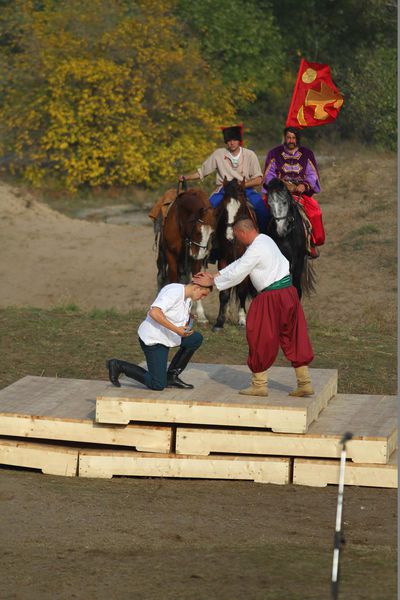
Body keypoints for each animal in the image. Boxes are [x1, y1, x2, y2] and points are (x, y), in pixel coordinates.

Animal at [156, 188, 216, 322]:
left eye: (211, 233)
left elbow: (197, 280)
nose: (201, 255)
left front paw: (201, 314)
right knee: (161, 277)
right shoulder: (171, 254)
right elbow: (173, 279)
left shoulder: (194, 260)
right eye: (198, 231)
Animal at [212, 178, 256, 330]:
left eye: (241, 207)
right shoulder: (223, 261)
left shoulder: (246, 261)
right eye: (223, 207)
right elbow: (224, 292)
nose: (229, 236)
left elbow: (242, 290)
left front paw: (242, 319)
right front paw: (219, 321)